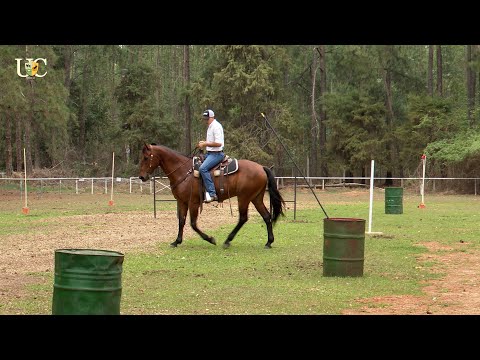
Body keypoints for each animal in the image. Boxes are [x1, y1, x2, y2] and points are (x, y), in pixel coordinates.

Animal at [138, 143, 284, 248]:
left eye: (146, 158)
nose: (141, 177)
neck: (183, 172)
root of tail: (261, 167)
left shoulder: (193, 202)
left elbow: (193, 223)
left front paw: (210, 239)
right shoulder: (182, 202)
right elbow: (181, 221)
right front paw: (176, 241)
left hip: (244, 198)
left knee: (243, 218)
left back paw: (227, 240)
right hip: (256, 198)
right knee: (266, 216)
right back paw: (269, 242)